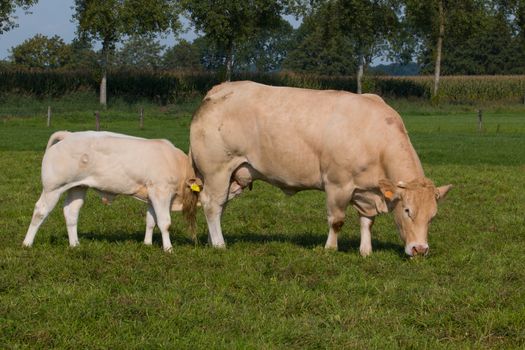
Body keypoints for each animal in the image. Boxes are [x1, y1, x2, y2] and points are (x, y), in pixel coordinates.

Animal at [22, 130, 201, 250]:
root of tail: (68, 135)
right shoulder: (160, 191)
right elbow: (164, 222)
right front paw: (168, 249)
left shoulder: (151, 195)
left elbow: (151, 221)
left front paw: (147, 244)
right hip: (52, 188)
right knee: (40, 211)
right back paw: (27, 243)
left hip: (78, 187)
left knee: (71, 212)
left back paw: (75, 245)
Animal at [188, 82, 450, 258]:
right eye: (407, 211)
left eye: (433, 216)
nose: (420, 249)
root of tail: (219, 90)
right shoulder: (338, 184)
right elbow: (337, 221)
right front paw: (330, 248)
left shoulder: (366, 191)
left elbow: (367, 221)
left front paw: (366, 251)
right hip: (217, 170)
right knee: (211, 205)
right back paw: (219, 244)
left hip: (234, 175)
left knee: (219, 206)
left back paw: (213, 240)